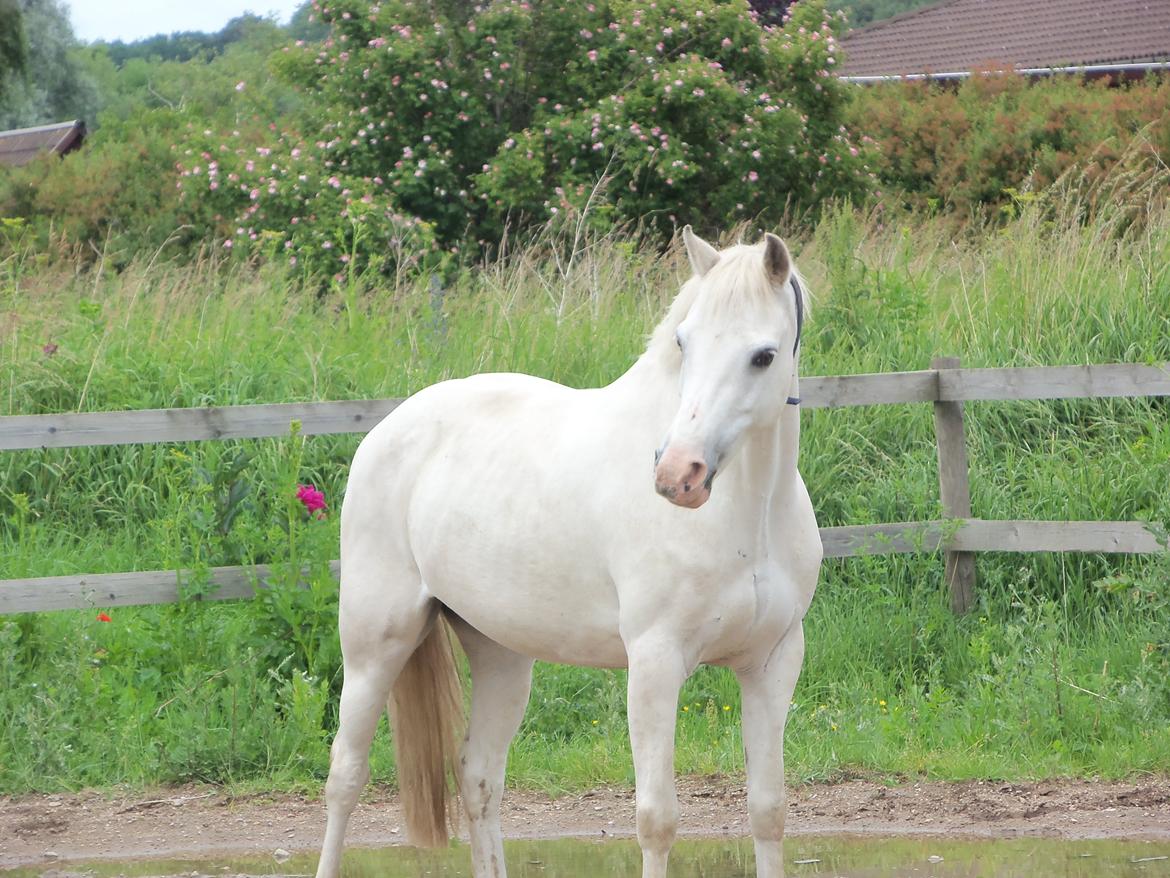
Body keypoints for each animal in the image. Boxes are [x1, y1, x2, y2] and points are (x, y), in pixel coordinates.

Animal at [314, 227, 822, 878]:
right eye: (684, 341)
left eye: (763, 355)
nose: (677, 474)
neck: (747, 515)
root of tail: (387, 429)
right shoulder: (655, 664)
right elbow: (657, 821)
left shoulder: (771, 663)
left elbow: (768, 810)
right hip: (376, 644)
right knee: (345, 777)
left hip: (500, 653)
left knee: (479, 778)